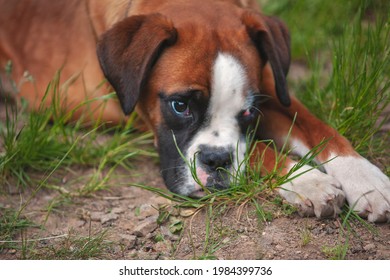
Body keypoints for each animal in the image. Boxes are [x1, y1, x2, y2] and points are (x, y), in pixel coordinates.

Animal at [0, 1, 388, 222]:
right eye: (180, 105)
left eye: (248, 112)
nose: (216, 162)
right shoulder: (140, 117)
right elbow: (258, 150)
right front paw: (307, 180)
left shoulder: (271, 89)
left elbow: (318, 128)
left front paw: (367, 180)